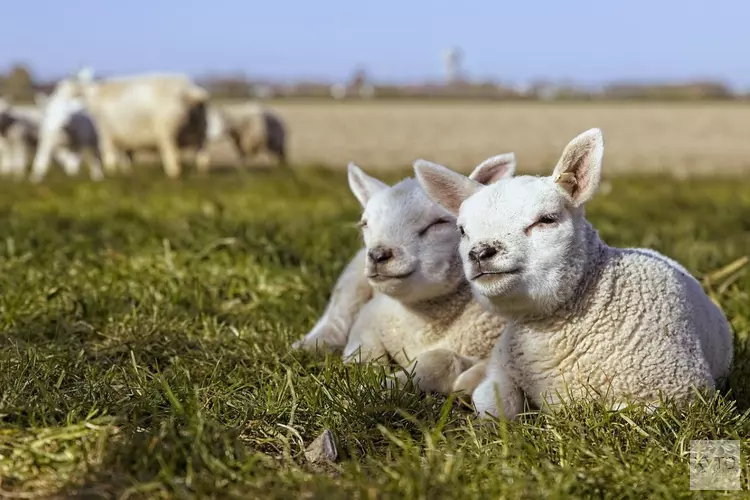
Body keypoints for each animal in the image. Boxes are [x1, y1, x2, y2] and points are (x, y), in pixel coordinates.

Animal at [294, 159, 516, 394]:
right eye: (365, 224)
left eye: (438, 223)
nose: (378, 255)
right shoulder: (370, 316)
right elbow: (363, 350)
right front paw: (367, 379)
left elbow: (445, 361)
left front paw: (390, 383)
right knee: (338, 314)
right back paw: (311, 345)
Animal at [418, 128, 736, 418]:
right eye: (462, 231)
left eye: (546, 219)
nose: (481, 253)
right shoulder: (503, 367)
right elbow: (493, 405)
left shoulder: (679, 396)